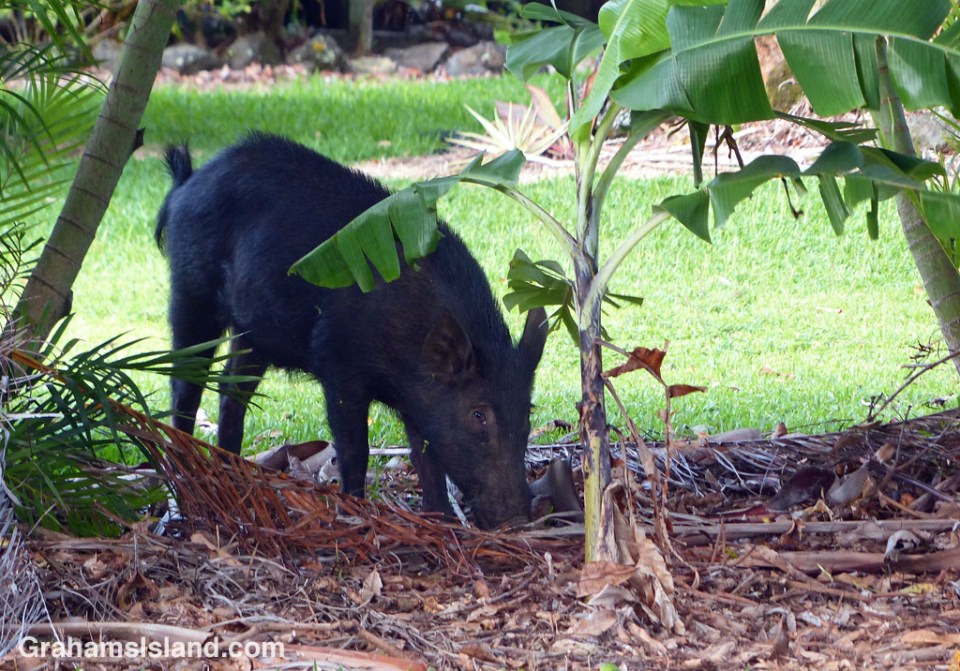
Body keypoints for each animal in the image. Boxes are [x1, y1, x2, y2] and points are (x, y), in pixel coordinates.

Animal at [155, 132, 548, 528]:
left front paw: (442, 519)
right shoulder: (338, 366)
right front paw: (355, 510)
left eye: (528, 412)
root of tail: (187, 181)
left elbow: (426, 454)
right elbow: (355, 447)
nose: (518, 518)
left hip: (251, 332)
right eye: (478, 415)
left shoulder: (418, 397)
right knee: (185, 383)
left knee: (231, 389)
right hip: (190, 292)